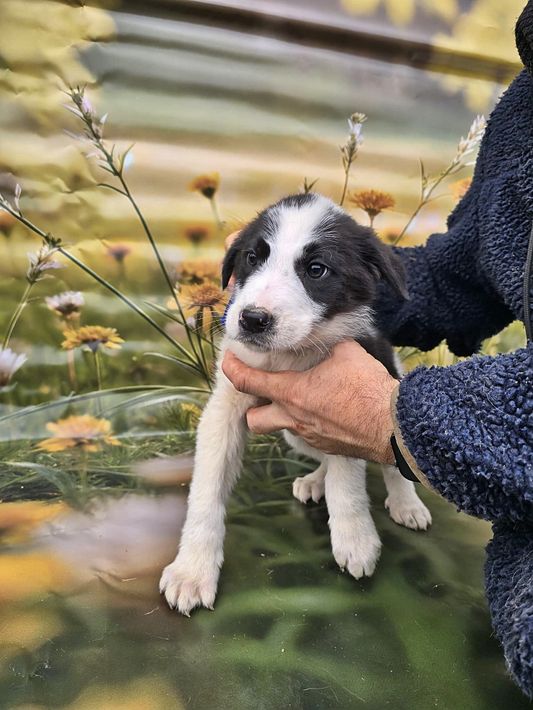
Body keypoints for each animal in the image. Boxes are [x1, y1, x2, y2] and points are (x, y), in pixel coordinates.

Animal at [160, 192, 431, 615]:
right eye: (252, 258)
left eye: (317, 270)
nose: (252, 319)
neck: (286, 356)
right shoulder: (225, 411)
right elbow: (206, 490)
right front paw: (192, 569)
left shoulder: (336, 406)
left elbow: (347, 479)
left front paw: (355, 538)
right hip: (295, 434)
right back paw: (314, 481)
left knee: (389, 464)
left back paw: (406, 504)